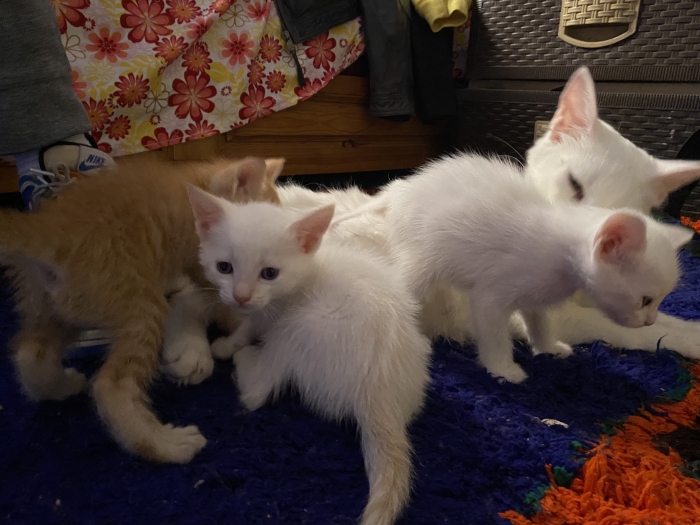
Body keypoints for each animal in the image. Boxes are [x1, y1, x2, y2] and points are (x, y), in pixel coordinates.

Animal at [0, 156, 283, 464]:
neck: (196, 192)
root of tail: (52, 227)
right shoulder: (208, 266)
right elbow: (225, 298)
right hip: (141, 308)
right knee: (112, 386)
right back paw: (166, 445)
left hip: (58, 310)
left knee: (30, 353)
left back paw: (60, 386)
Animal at [187, 187, 432, 525]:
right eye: (224, 267)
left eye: (269, 273)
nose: (241, 296)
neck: (305, 273)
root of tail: (378, 387)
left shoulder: (275, 314)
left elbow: (250, 328)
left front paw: (228, 345)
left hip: (302, 326)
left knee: (257, 391)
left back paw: (247, 359)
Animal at [381, 153, 692, 383]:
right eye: (646, 300)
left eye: (659, 301)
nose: (650, 320)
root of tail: (405, 188)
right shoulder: (490, 296)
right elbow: (494, 334)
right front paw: (502, 368)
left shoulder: (536, 298)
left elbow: (540, 322)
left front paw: (548, 347)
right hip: (421, 259)